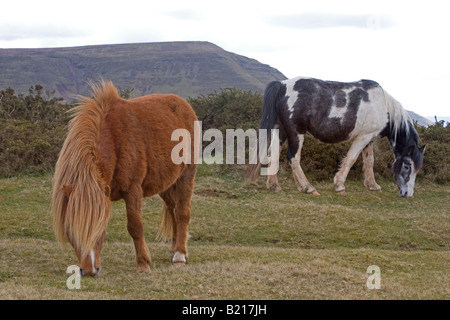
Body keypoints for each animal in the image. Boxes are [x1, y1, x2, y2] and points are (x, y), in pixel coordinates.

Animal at [51, 81, 197, 276]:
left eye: (99, 229)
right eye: (70, 232)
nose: (88, 271)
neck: (114, 139)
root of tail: (184, 106)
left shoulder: (133, 190)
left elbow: (135, 226)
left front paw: (143, 264)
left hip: (186, 176)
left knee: (182, 212)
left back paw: (180, 255)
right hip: (165, 184)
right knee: (173, 209)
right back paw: (174, 248)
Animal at [246, 77, 426, 198]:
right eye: (407, 166)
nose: (408, 193)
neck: (382, 105)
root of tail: (282, 85)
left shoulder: (369, 138)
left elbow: (369, 161)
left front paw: (372, 185)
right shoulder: (363, 137)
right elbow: (351, 159)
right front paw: (339, 185)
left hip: (281, 130)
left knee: (274, 153)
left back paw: (274, 186)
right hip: (296, 133)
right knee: (293, 157)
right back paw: (308, 187)